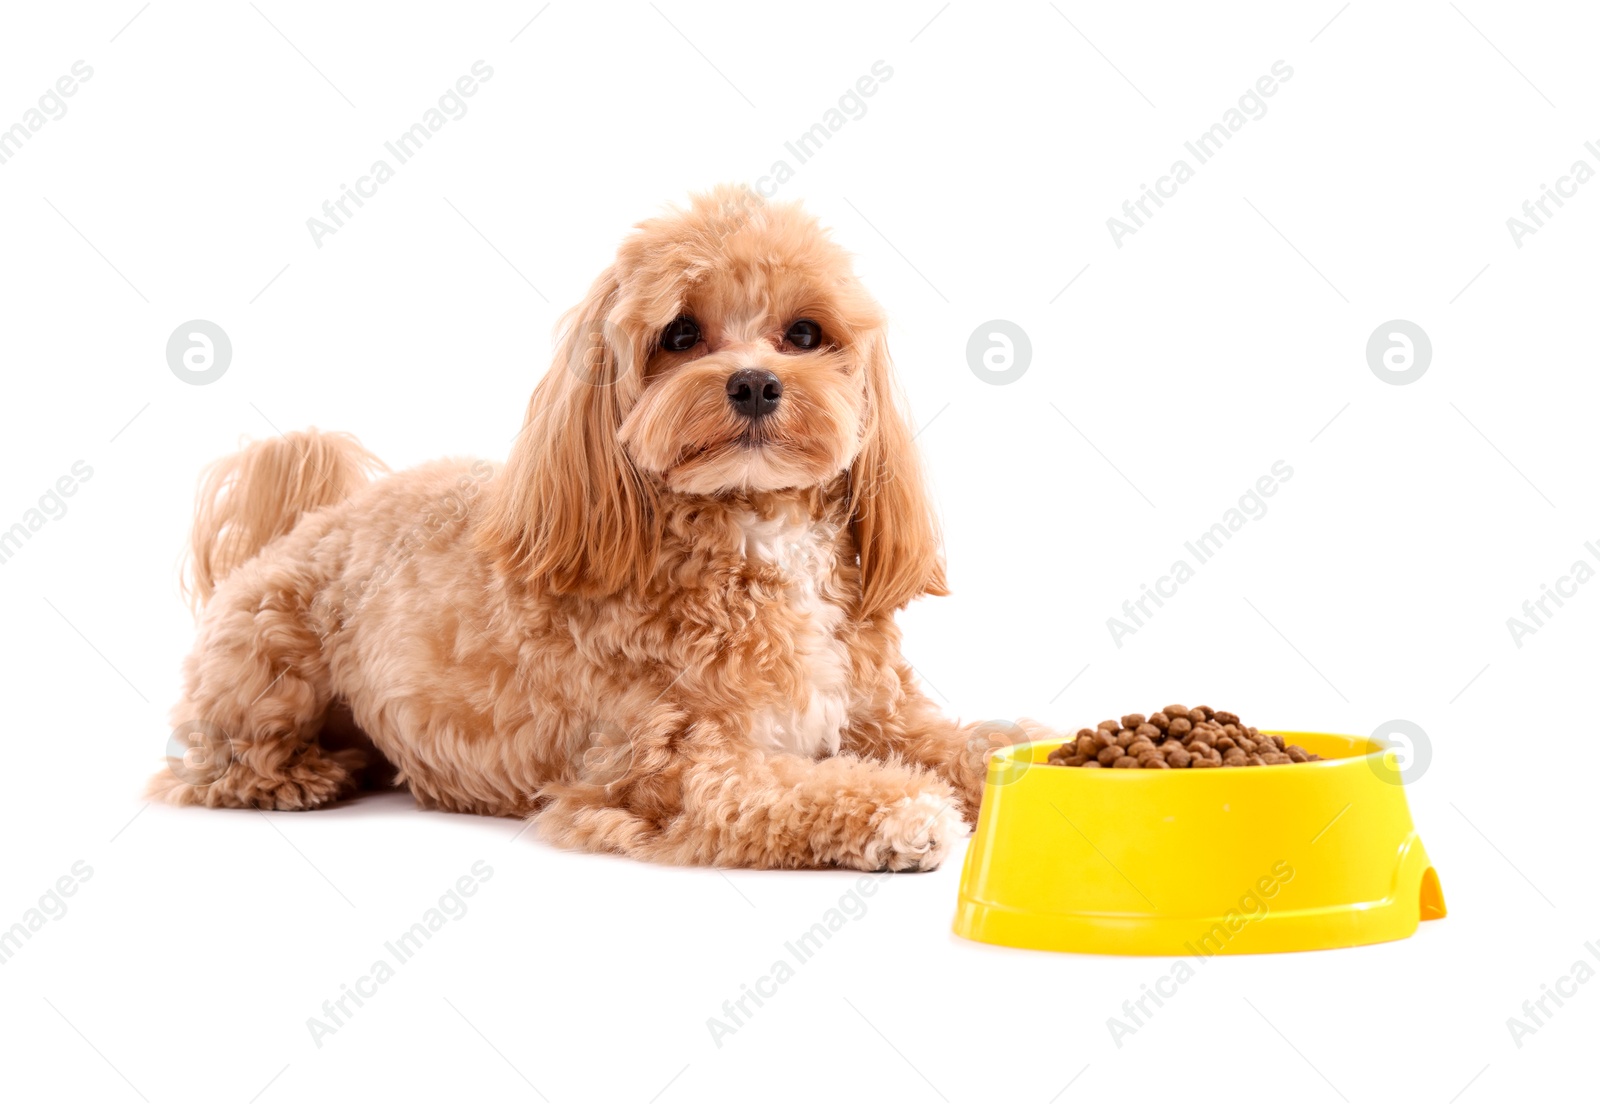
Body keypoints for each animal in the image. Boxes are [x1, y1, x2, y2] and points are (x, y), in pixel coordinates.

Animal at [150, 185, 1049, 870]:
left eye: (804, 333)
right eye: (680, 333)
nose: (756, 383)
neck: (754, 529)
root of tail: (313, 520)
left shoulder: (880, 714)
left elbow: (968, 743)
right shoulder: (673, 773)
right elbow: (801, 791)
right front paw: (903, 811)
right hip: (269, 666)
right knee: (217, 766)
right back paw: (302, 776)